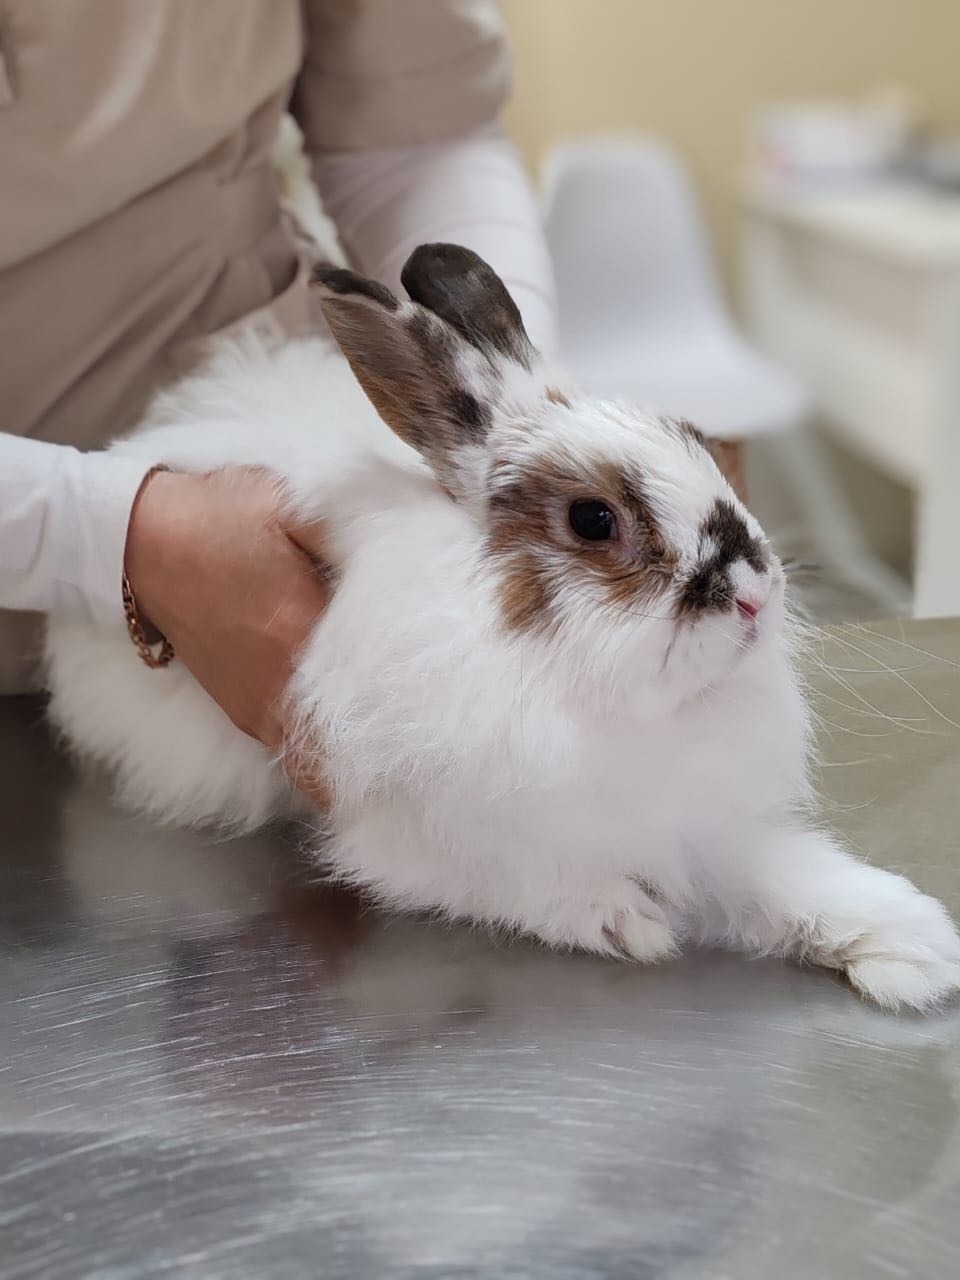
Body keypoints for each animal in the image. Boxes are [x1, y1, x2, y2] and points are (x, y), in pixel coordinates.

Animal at [44, 243, 960, 1012]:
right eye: (593, 520)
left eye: (700, 447)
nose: (755, 596)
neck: (580, 688)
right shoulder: (429, 837)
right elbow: (527, 880)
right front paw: (625, 919)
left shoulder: (692, 818)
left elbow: (781, 879)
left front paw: (914, 947)